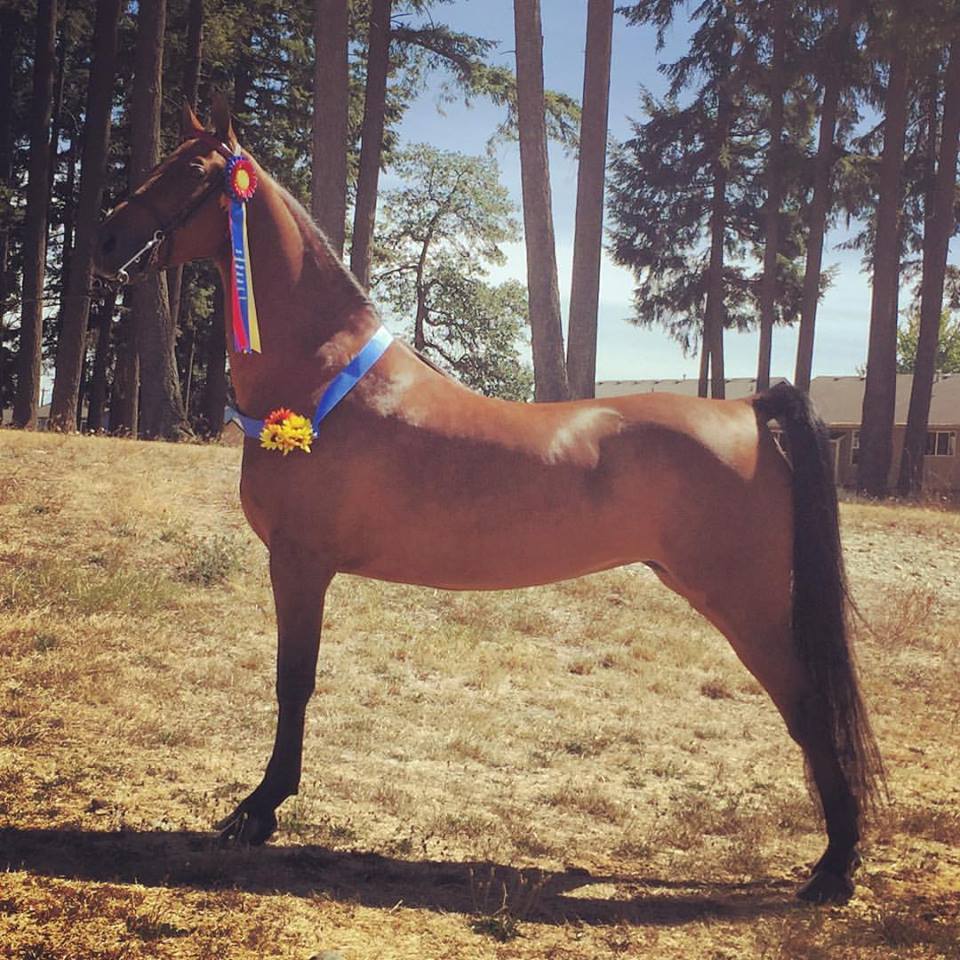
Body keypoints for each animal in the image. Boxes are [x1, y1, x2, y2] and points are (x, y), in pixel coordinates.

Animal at [92, 97, 882, 905]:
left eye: (192, 171)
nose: (104, 237)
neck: (319, 380)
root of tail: (749, 409)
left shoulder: (300, 564)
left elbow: (294, 683)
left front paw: (258, 810)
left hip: (746, 603)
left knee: (808, 706)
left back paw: (834, 867)